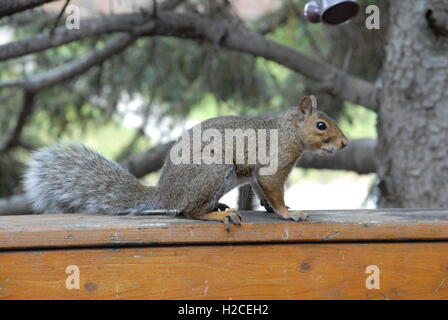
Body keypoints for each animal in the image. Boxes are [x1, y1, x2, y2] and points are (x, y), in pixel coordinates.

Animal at [24, 95, 348, 230]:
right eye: (321, 125)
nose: (345, 143)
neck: (288, 130)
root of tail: (163, 194)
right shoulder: (274, 161)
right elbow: (272, 187)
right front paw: (288, 213)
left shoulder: (258, 174)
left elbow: (260, 189)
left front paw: (274, 207)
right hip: (213, 169)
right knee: (188, 211)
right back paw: (217, 215)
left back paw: (219, 206)